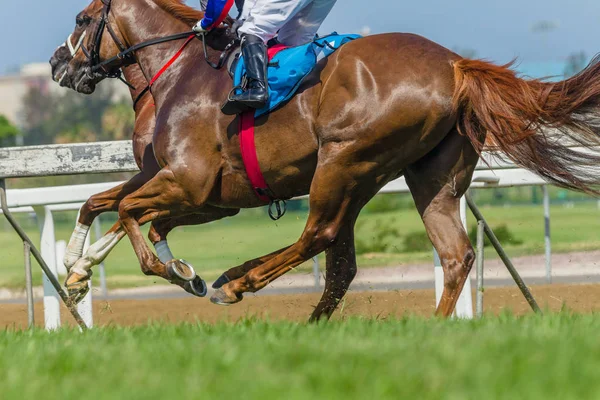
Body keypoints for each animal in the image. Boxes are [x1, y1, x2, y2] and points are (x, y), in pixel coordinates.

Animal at [58, 0, 600, 318]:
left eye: (83, 20)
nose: (58, 64)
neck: (180, 73)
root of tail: (454, 64)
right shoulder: (201, 196)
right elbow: (103, 203)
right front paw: (77, 270)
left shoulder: (191, 185)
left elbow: (128, 211)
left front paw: (175, 272)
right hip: (421, 176)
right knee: (440, 255)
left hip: (343, 163)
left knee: (319, 235)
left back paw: (237, 282)